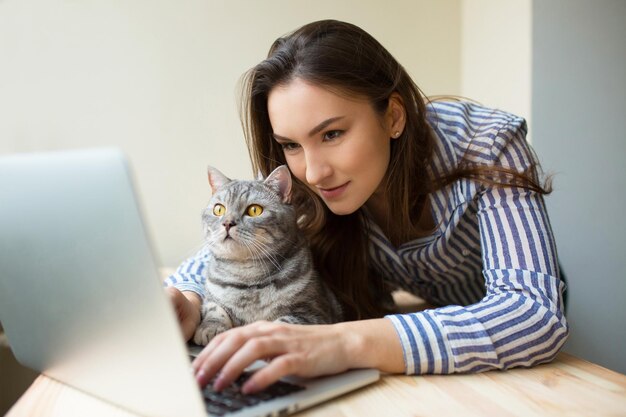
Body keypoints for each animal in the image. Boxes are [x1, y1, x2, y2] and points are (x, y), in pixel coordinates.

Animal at [194, 163, 344, 344]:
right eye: (218, 209)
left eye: (254, 210)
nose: (227, 223)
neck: (246, 278)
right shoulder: (211, 297)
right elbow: (214, 308)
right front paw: (210, 327)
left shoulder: (314, 313)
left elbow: (283, 323)